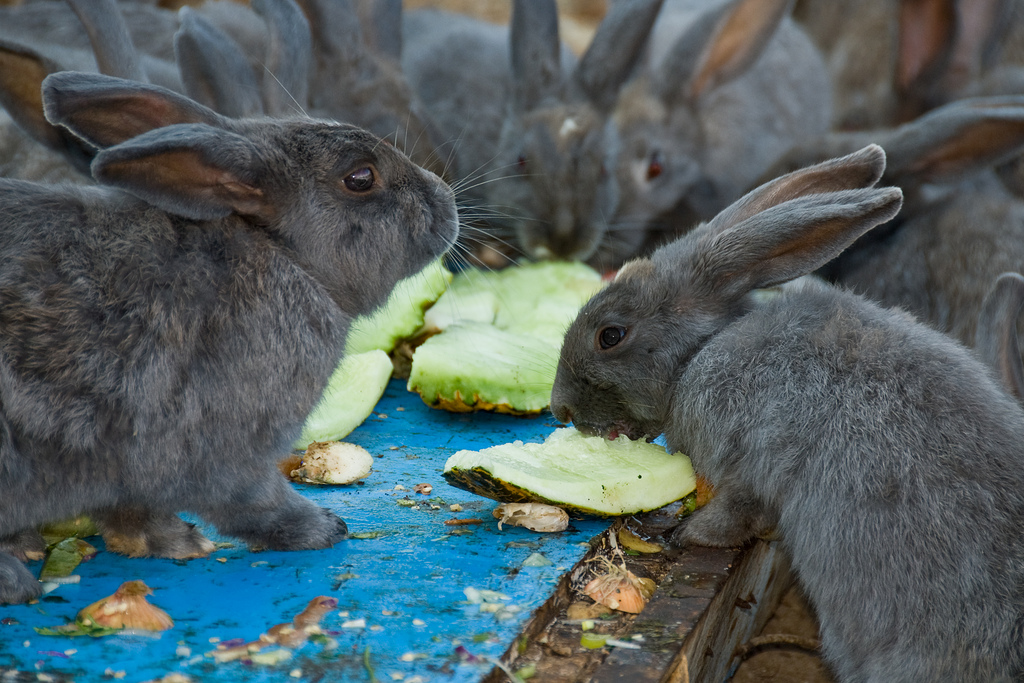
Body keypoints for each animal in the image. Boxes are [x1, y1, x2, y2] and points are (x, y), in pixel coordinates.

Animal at [0, 70, 458, 602]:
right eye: (360, 178)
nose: (447, 202)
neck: (284, 255)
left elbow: (132, 513)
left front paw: (167, 542)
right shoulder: (230, 450)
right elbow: (254, 501)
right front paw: (322, 528)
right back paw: (15, 580)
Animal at [557, 143, 1024, 679]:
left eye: (610, 335)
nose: (559, 409)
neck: (702, 351)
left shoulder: (748, 461)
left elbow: (732, 517)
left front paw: (679, 533)